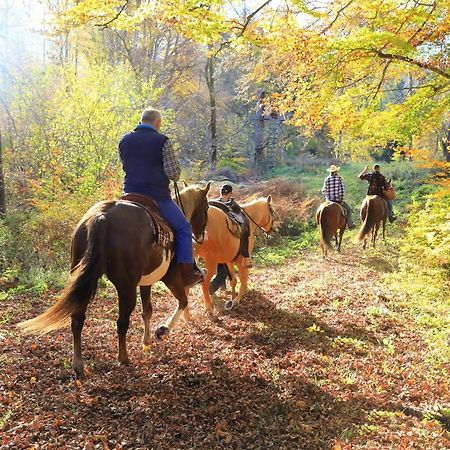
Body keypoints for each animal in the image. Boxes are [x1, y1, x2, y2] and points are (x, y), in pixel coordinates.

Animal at [18, 184, 212, 380]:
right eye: (206, 207)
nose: (202, 235)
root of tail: (102, 217)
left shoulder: (146, 282)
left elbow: (147, 310)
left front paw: (147, 340)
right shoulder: (171, 277)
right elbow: (182, 301)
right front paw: (162, 331)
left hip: (84, 278)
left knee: (77, 319)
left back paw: (79, 365)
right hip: (126, 286)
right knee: (122, 321)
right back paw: (123, 357)